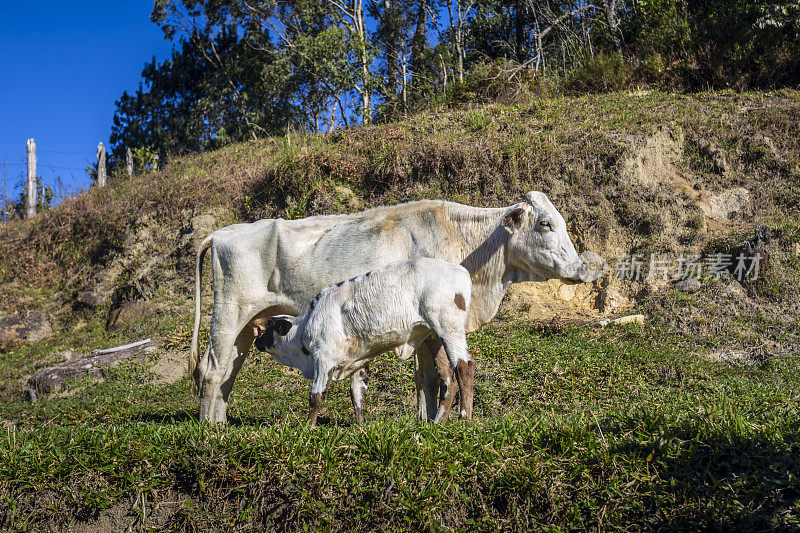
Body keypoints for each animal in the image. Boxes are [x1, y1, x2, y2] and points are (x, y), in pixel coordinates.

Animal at [250, 256, 476, 426]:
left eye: (269, 327)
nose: (257, 340)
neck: (304, 329)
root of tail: (458, 269)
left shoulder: (323, 360)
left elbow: (316, 396)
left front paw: (308, 427)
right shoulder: (358, 362)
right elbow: (357, 396)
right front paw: (359, 427)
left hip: (449, 329)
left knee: (464, 366)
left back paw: (465, 419)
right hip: (434, 337)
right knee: (448, 378)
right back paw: (438, 423)